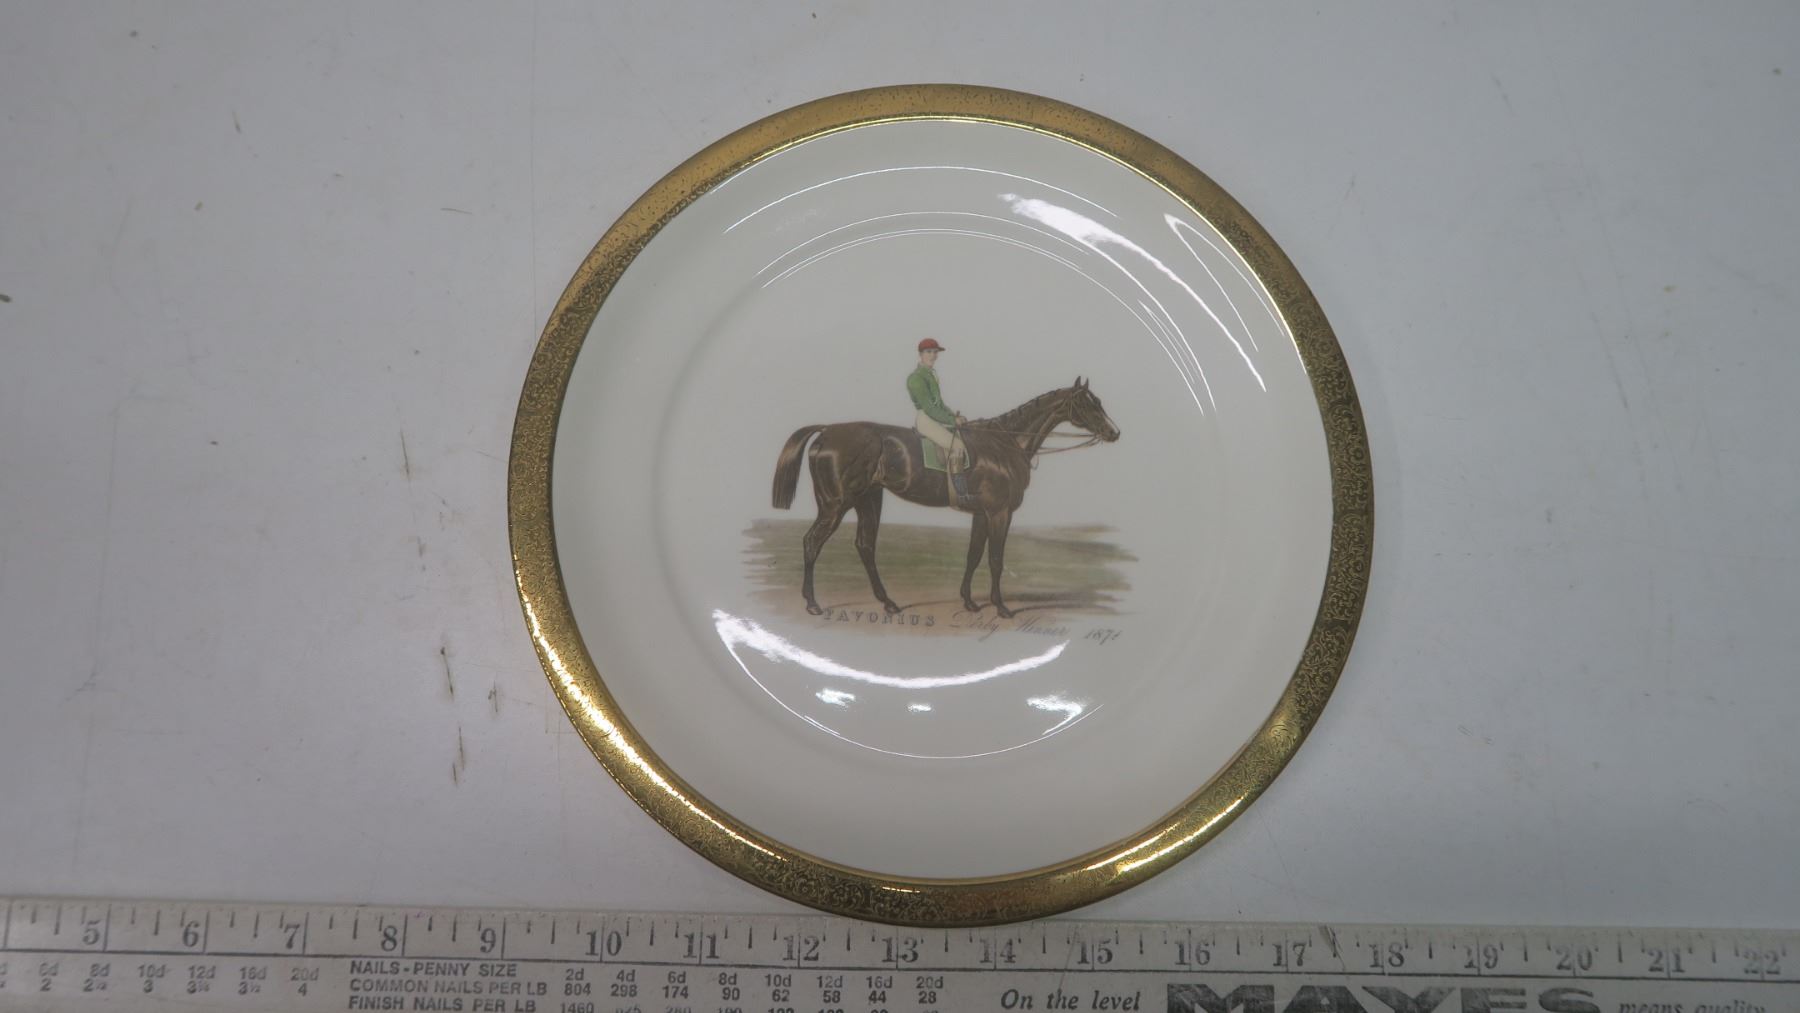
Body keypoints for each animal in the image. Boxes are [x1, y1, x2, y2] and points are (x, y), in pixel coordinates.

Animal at [770, 377, 1120, 619]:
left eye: (1099, 401)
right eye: (1089, 404)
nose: (1114, 433)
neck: (1005, 444)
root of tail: (827, 431)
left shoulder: (981, 513)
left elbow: (973, 556)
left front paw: (969, 602)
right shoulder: (999, 513)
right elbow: (995, 560)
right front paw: (1001, 607)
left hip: (869, 499)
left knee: (865, 546)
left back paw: (888, 603)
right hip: (835, 504)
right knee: (812, 543)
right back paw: (813, 603)